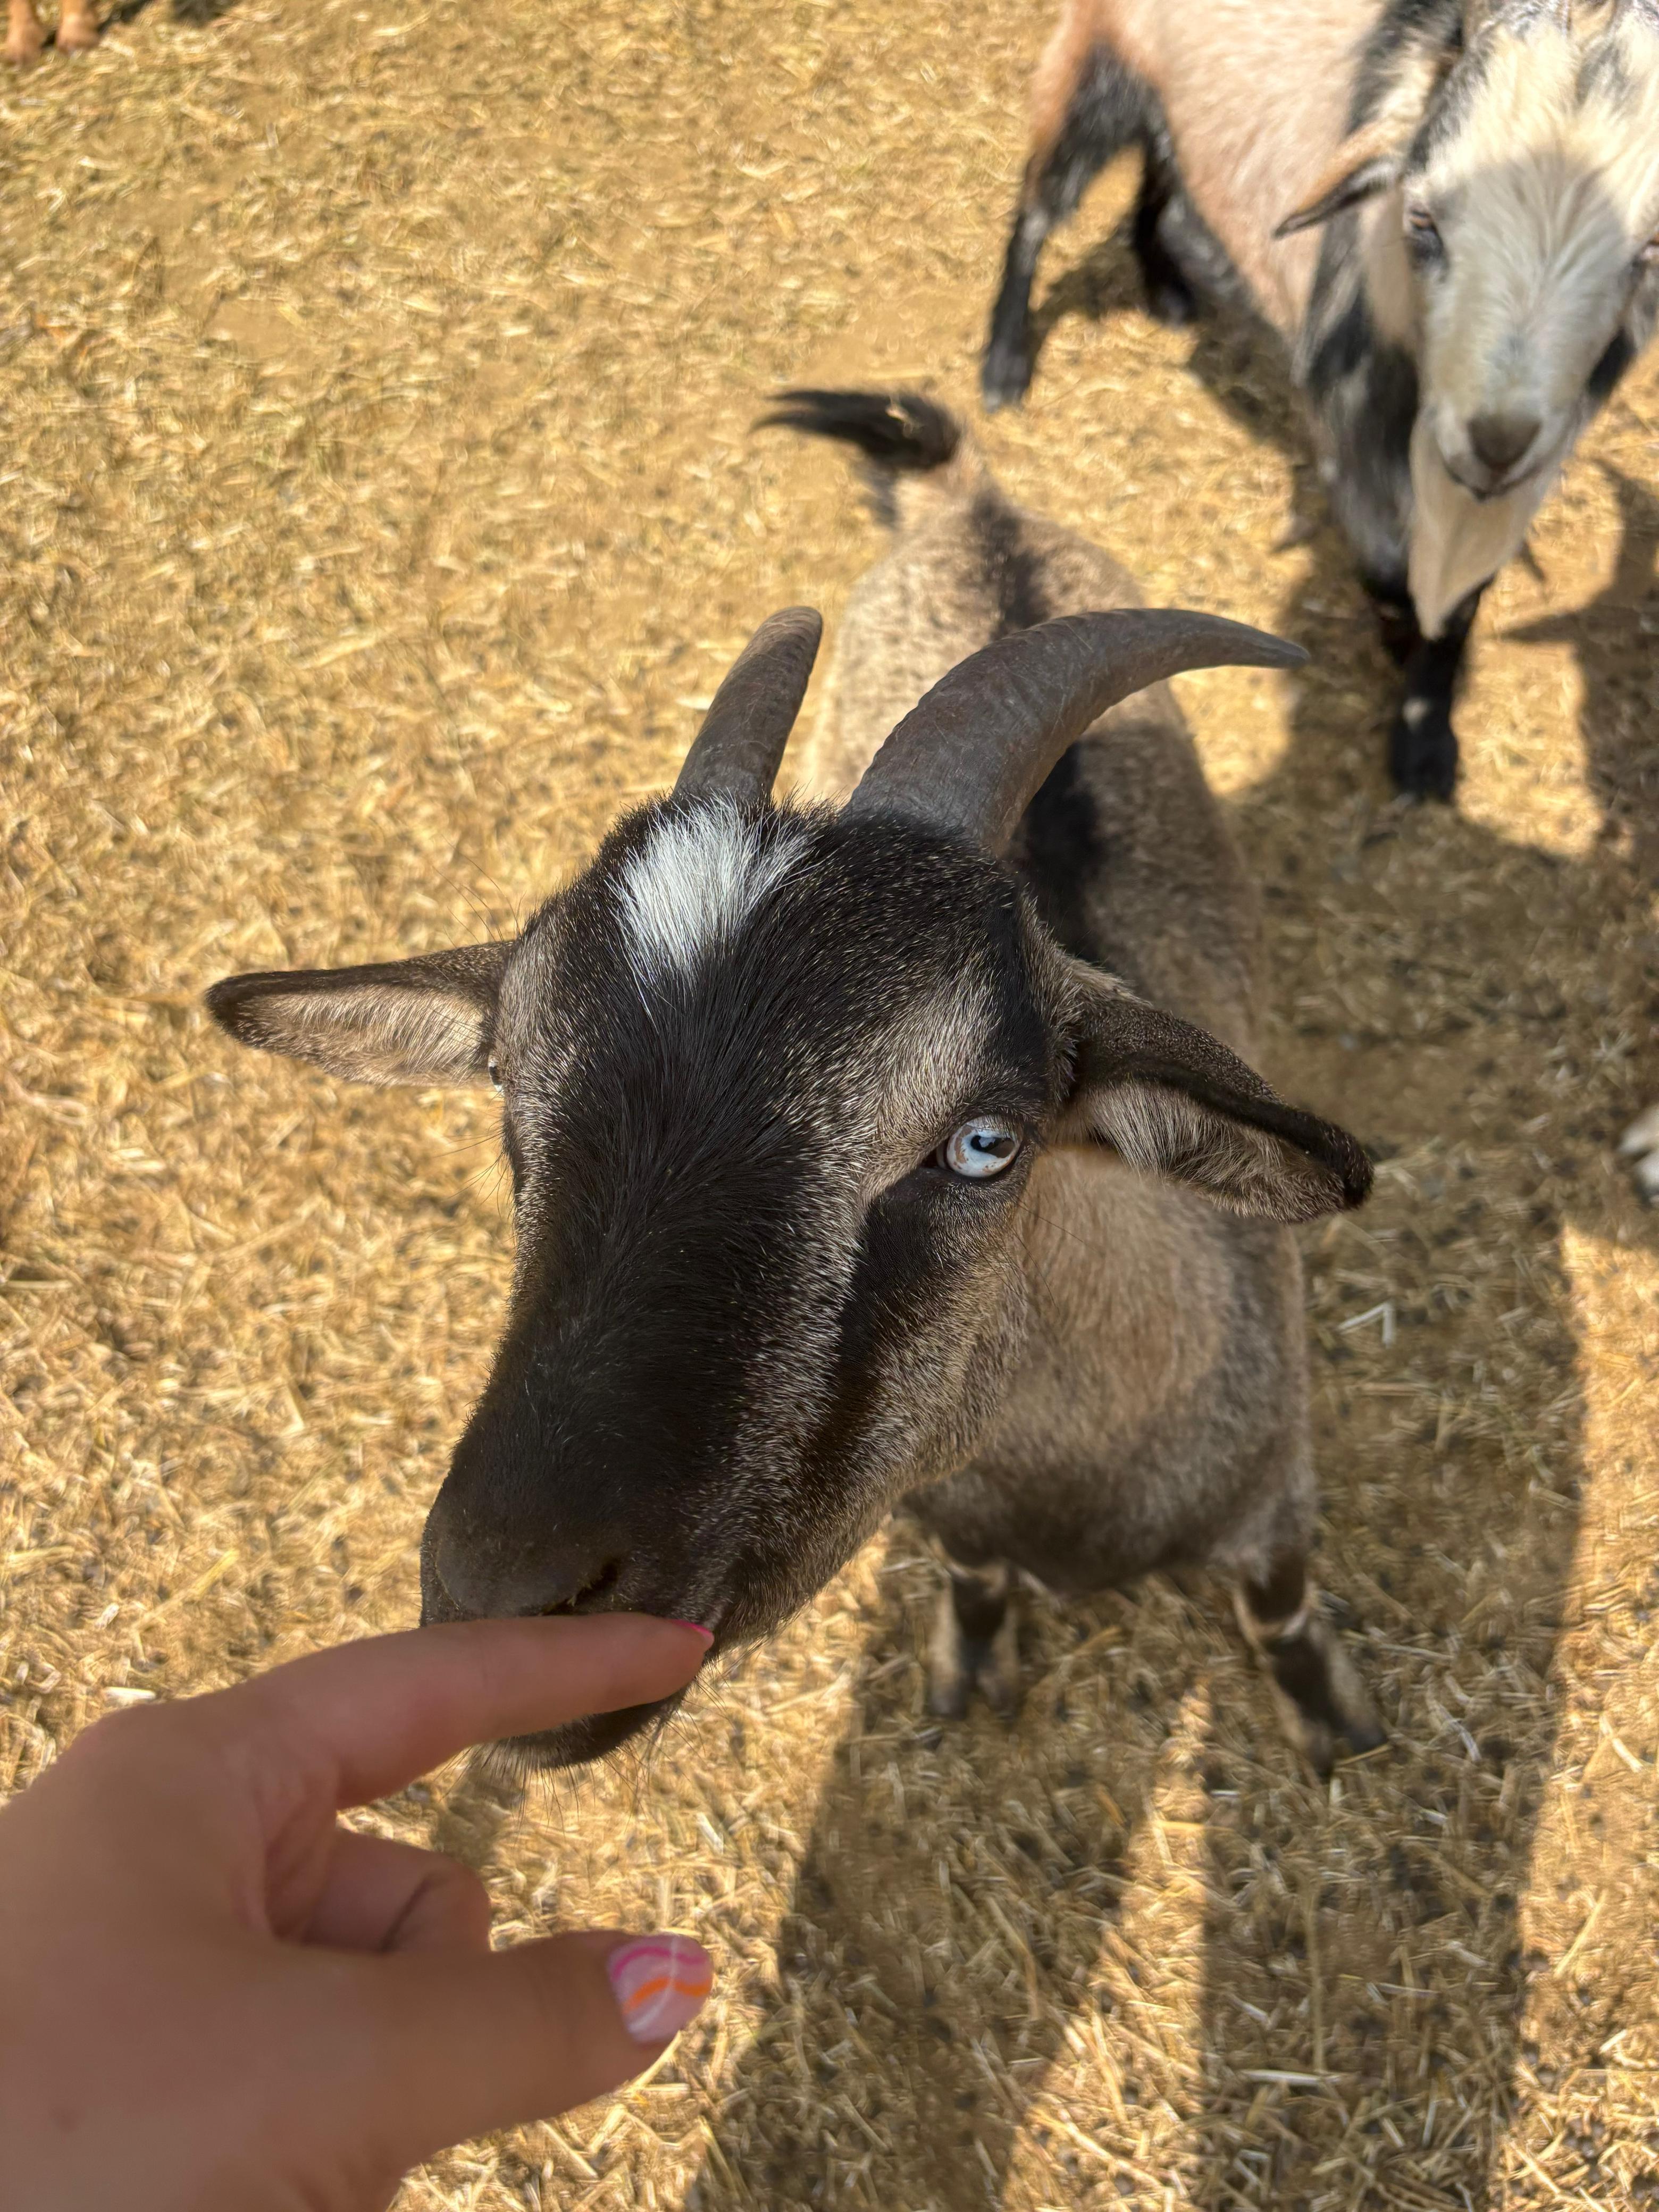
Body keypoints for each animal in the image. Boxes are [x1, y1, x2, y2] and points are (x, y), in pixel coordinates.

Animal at [204, 389, 1381, 1775]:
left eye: (985, 1142)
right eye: (511, 1101)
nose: (504, 1594)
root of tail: (970, 507)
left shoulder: (1276, 1496)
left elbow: (1282, 1606)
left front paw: (1334, 1723)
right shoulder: (955, 1513)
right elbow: (973, 1578)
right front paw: (968, 1664)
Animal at [981, 0, 1659, 802]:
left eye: (1649, 252)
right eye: (1422, 219)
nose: (1494, 441)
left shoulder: (1530, 452)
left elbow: (1465, 591)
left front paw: (1430, 732)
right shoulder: (1352, 427)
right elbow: (1387, 570)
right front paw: (1404, 663)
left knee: (1163, 159)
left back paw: (1165, 283)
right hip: (1094, 71)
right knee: (1038, 205)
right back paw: (1004, 363)